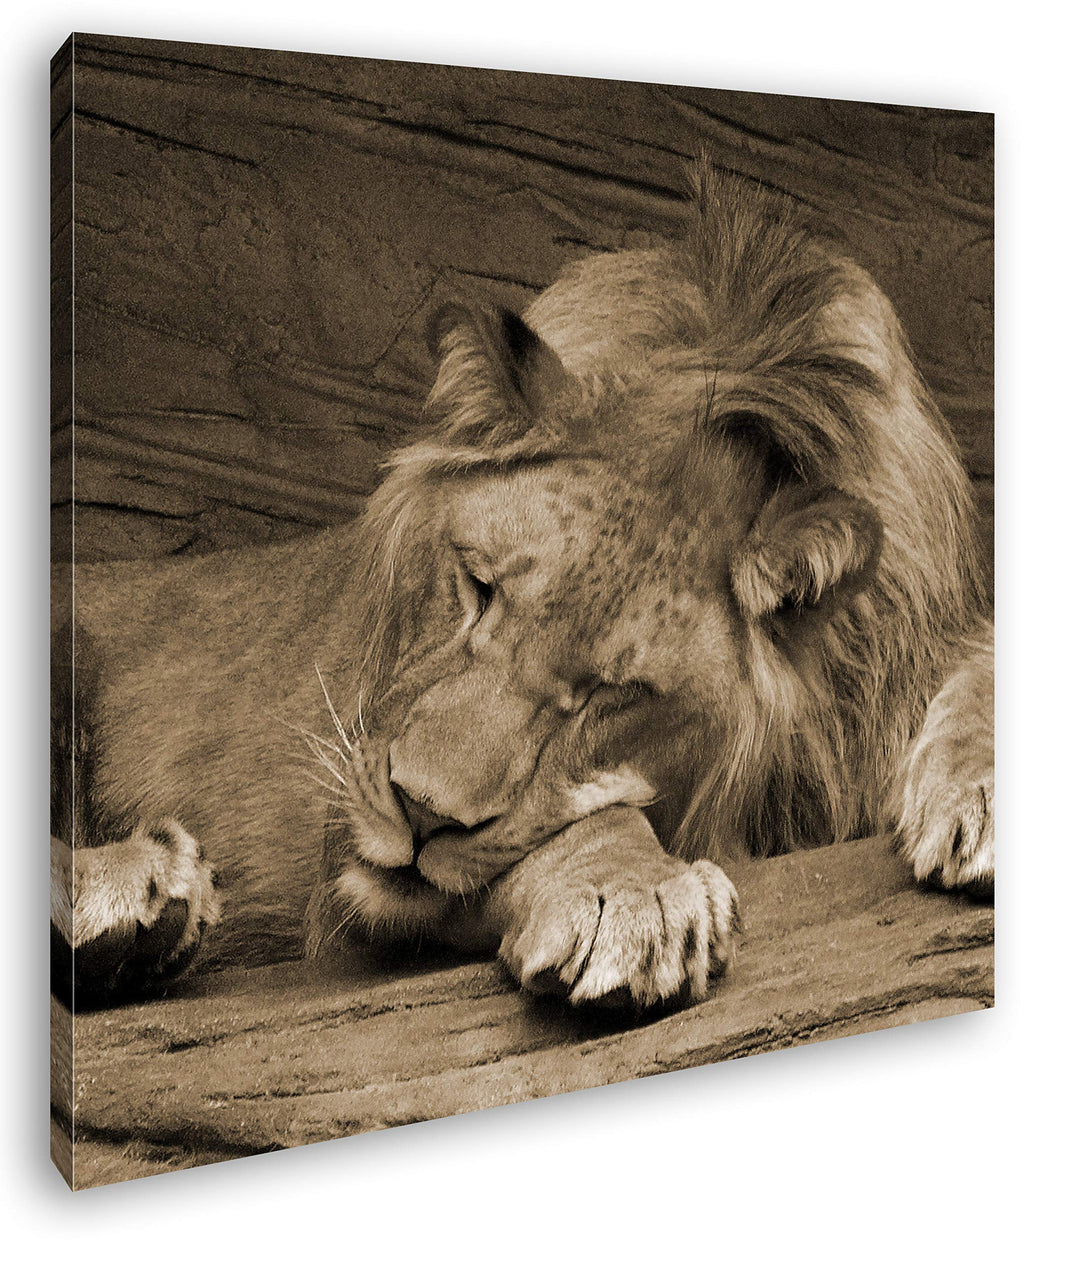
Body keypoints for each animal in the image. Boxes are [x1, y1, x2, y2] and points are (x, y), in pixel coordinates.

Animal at [51, 165, 993, 1011]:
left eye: (613, 693)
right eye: (476, 587)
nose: (419, 812)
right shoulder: (341, 853)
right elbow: (570, 825)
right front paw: (634, 893)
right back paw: (138, 888)